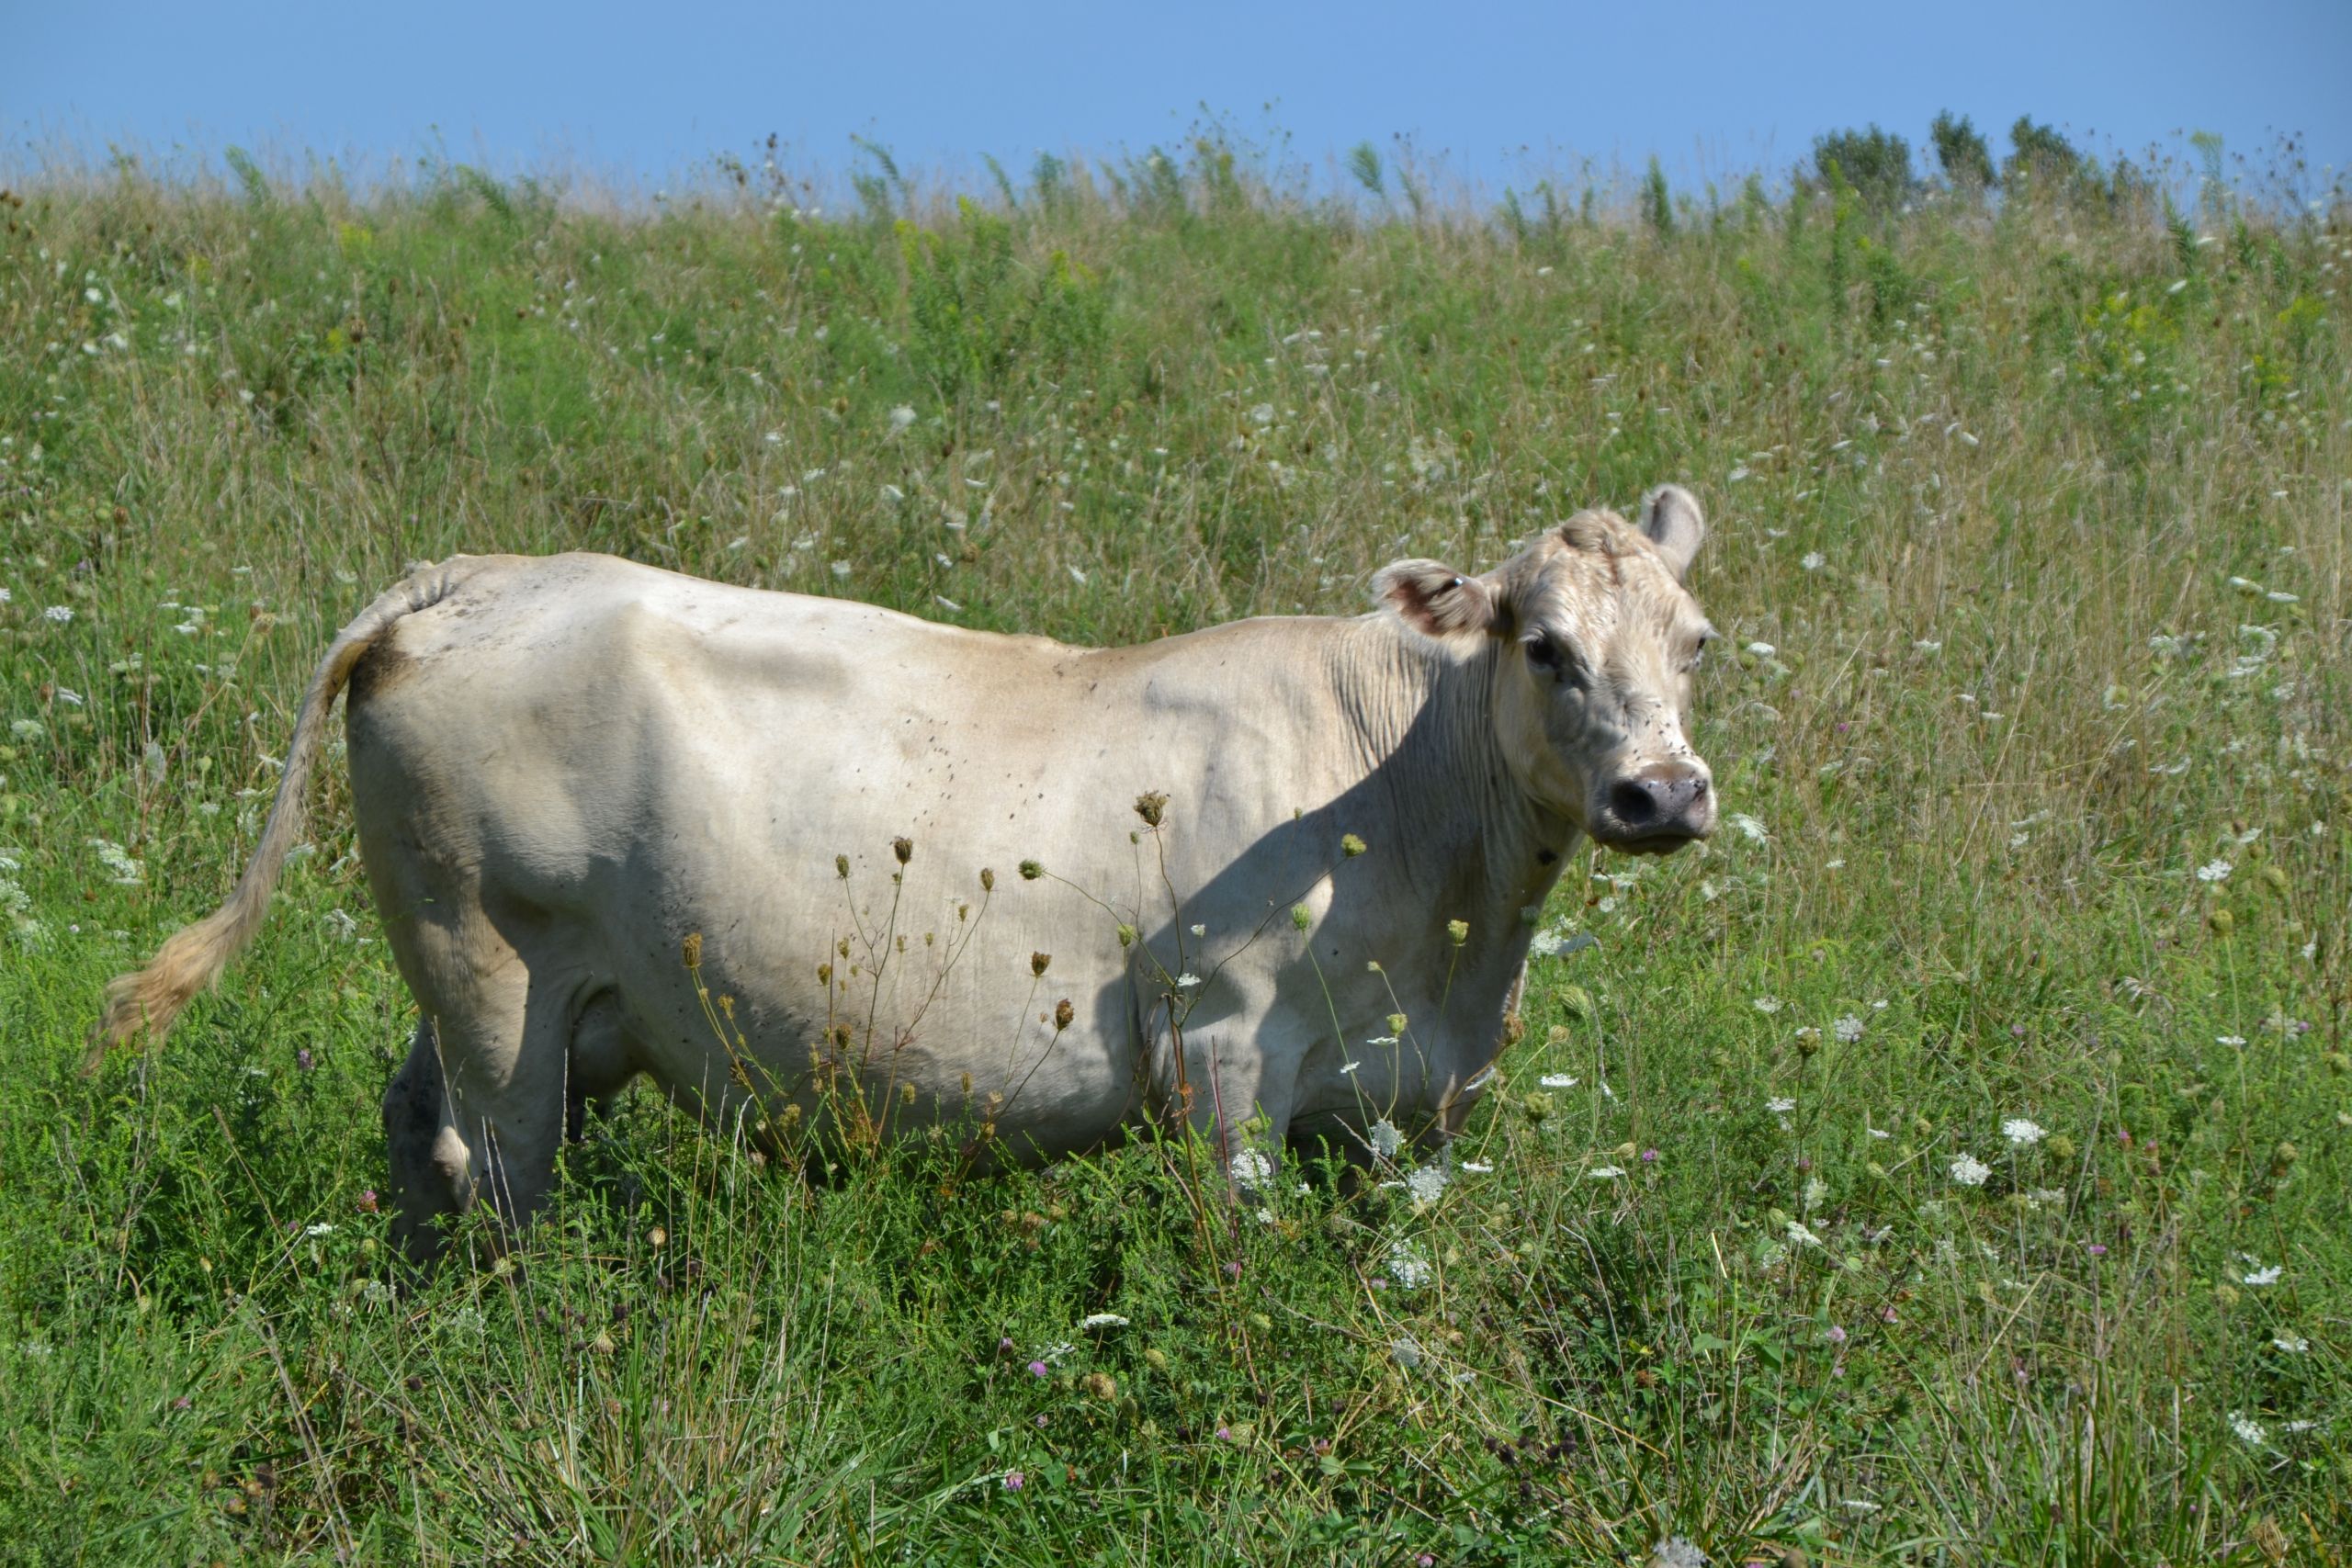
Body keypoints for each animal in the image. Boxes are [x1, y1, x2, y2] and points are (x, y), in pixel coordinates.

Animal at [96, 484, 1712, 1259]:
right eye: (1542, 644)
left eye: (1695, 639)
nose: (1665, 789)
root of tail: (469, 577)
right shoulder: (1225, 1042)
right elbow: (1242, 1248)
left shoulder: (1419, 1099)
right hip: (490, 968)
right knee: (488, 1168)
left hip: (506, 992)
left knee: (413, 1124)